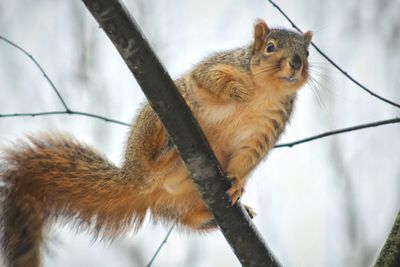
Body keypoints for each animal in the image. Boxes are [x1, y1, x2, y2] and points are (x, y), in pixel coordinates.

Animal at [0, 19, 312, 267]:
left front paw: (236, 182)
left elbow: (248, 157)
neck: (265, 90)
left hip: (181, 205)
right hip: (151, 124)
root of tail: (137, 179)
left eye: (307, 53)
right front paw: (235, 90)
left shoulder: (268, 128)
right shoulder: (218, 66)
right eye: (270, 47)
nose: (296, 63)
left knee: (189, 219)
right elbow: (208, 79)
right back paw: (164, 154)